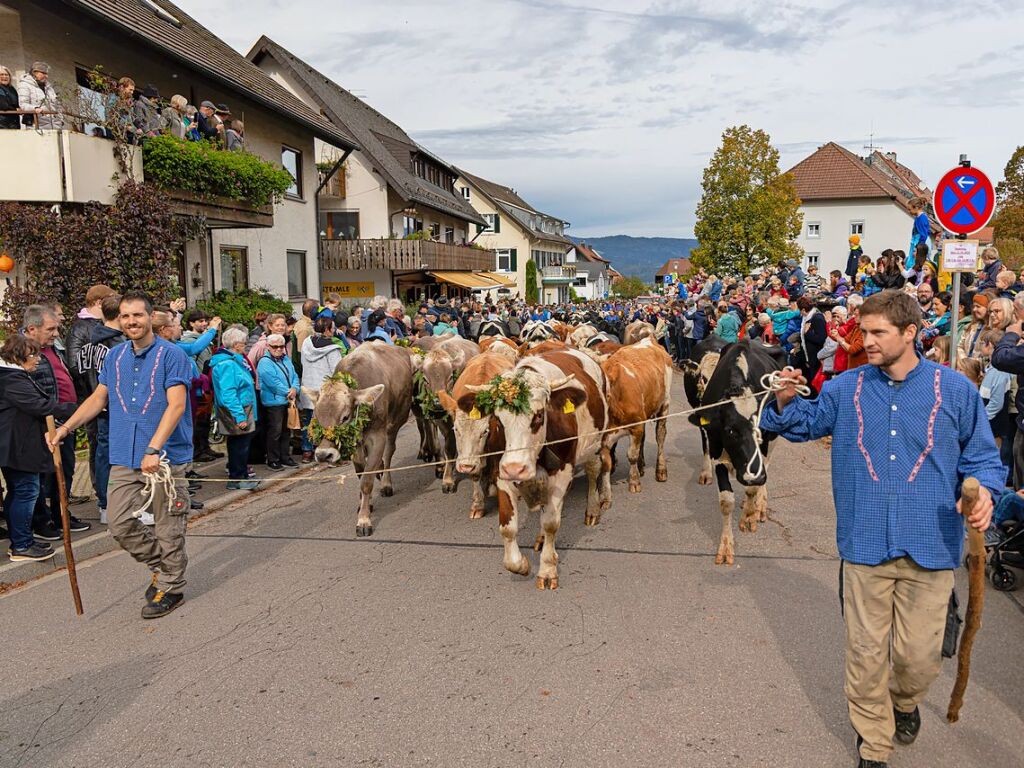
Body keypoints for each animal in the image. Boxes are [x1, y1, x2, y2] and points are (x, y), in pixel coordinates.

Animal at [303, 346, 411, 536]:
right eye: (316, 417)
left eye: (345, 417)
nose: (323, 455)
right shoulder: (354, 442)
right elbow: (361, 472)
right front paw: (364, 505)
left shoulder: (377, 436)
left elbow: (366, 481)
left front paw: (363, 521)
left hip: (396, 421)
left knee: (389, 452)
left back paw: (386, 483)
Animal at [692, 339, 786, 569]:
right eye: (731, 431)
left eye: (761, 426)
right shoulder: (716, 449)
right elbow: (726, 501)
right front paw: (725, 547)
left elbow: (753, 487)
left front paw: (749, 517)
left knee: (767, 464)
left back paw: (759, 505)